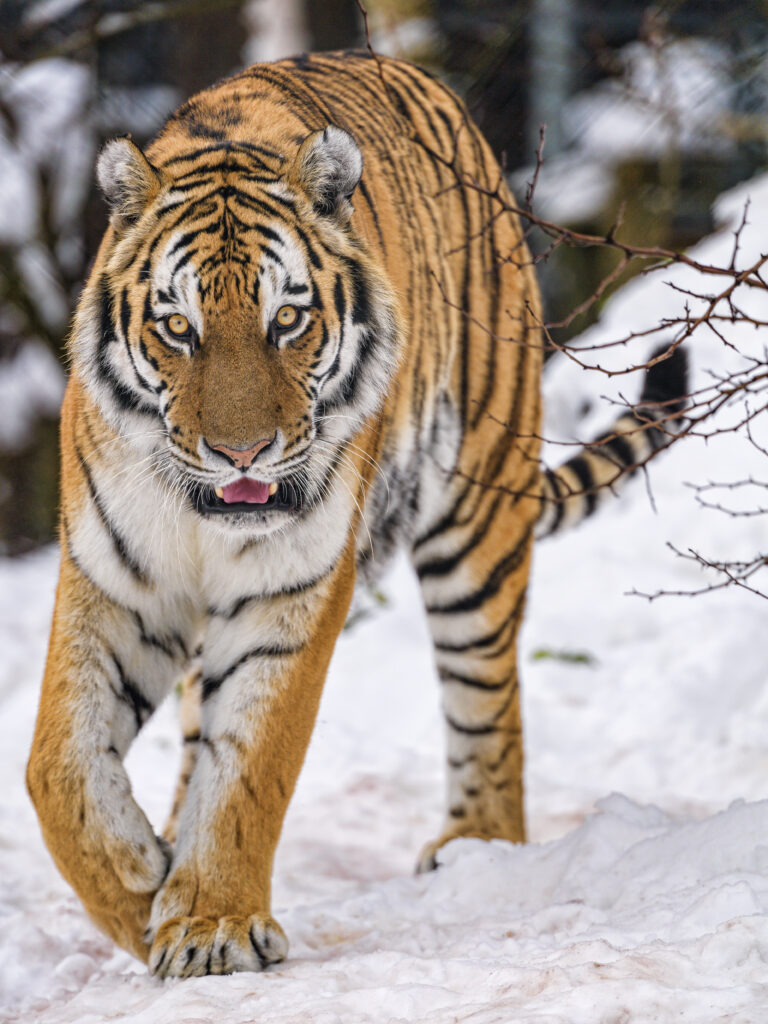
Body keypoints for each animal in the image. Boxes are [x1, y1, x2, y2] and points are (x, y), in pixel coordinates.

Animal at [26, 51, 686, 979]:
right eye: (179, 328)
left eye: (287, 319)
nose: (242, 454)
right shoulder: (113, 581)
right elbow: (58, 765)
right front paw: (142, 889)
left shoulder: (290, 591)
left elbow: (252, 763)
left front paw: (212, 922)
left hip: (477, 515)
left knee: (488, 695)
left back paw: (477, 845)